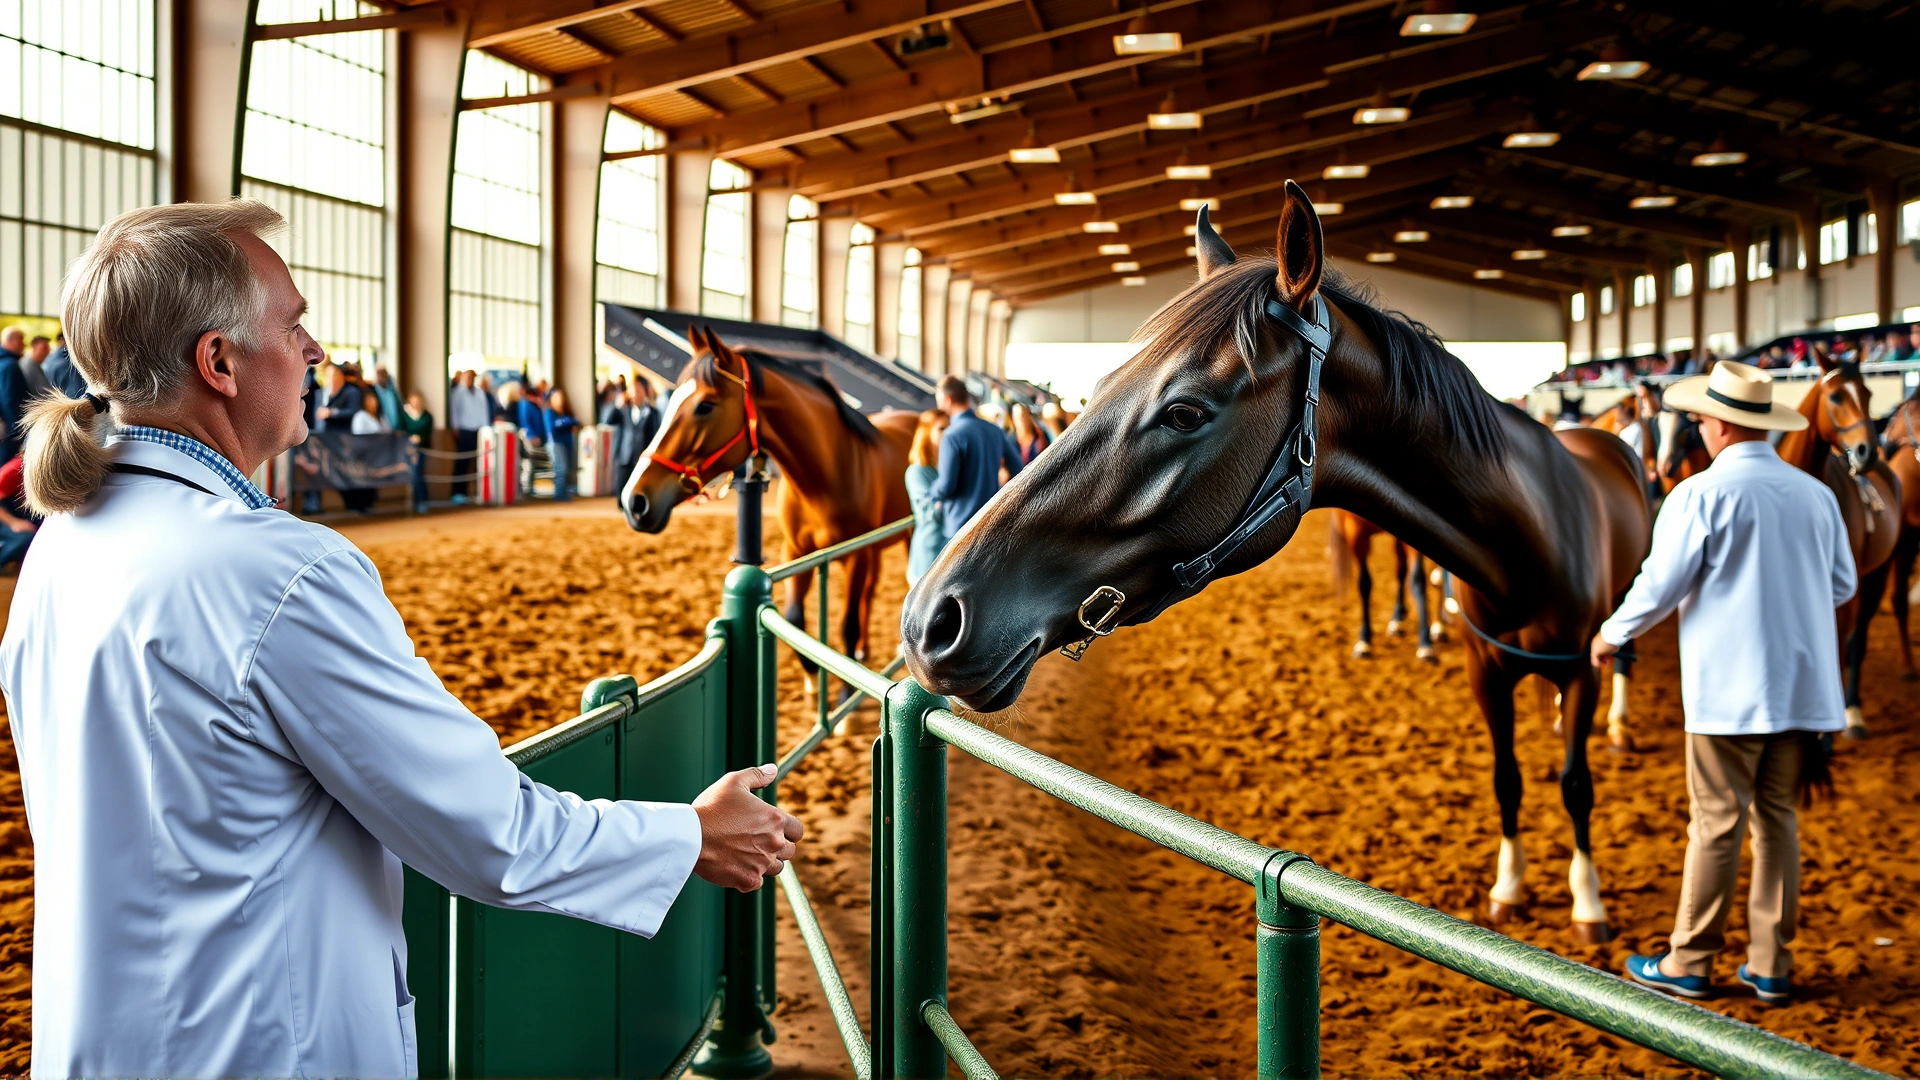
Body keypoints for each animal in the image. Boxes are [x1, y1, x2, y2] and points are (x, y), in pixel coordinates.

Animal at [620, 326, 918, 679]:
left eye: (705, 406)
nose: (634, 501)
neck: (828, 478)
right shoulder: (797, 552)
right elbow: (796, 619)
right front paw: (811, 678)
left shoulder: (855, 556)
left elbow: (846, 627)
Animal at [1328, 510, 1442, 661]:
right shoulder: (1356, 532)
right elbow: (1365, 584)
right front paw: (1364, 641)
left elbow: (1418, 580)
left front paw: (1426, 644)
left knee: (1402, 571)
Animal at [1774, 356, 1904, 739]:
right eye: (1834, 396)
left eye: (1868, 393)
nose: (1867, 452)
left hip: (1875, 577)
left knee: (1855, 642)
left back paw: (1853, 713)